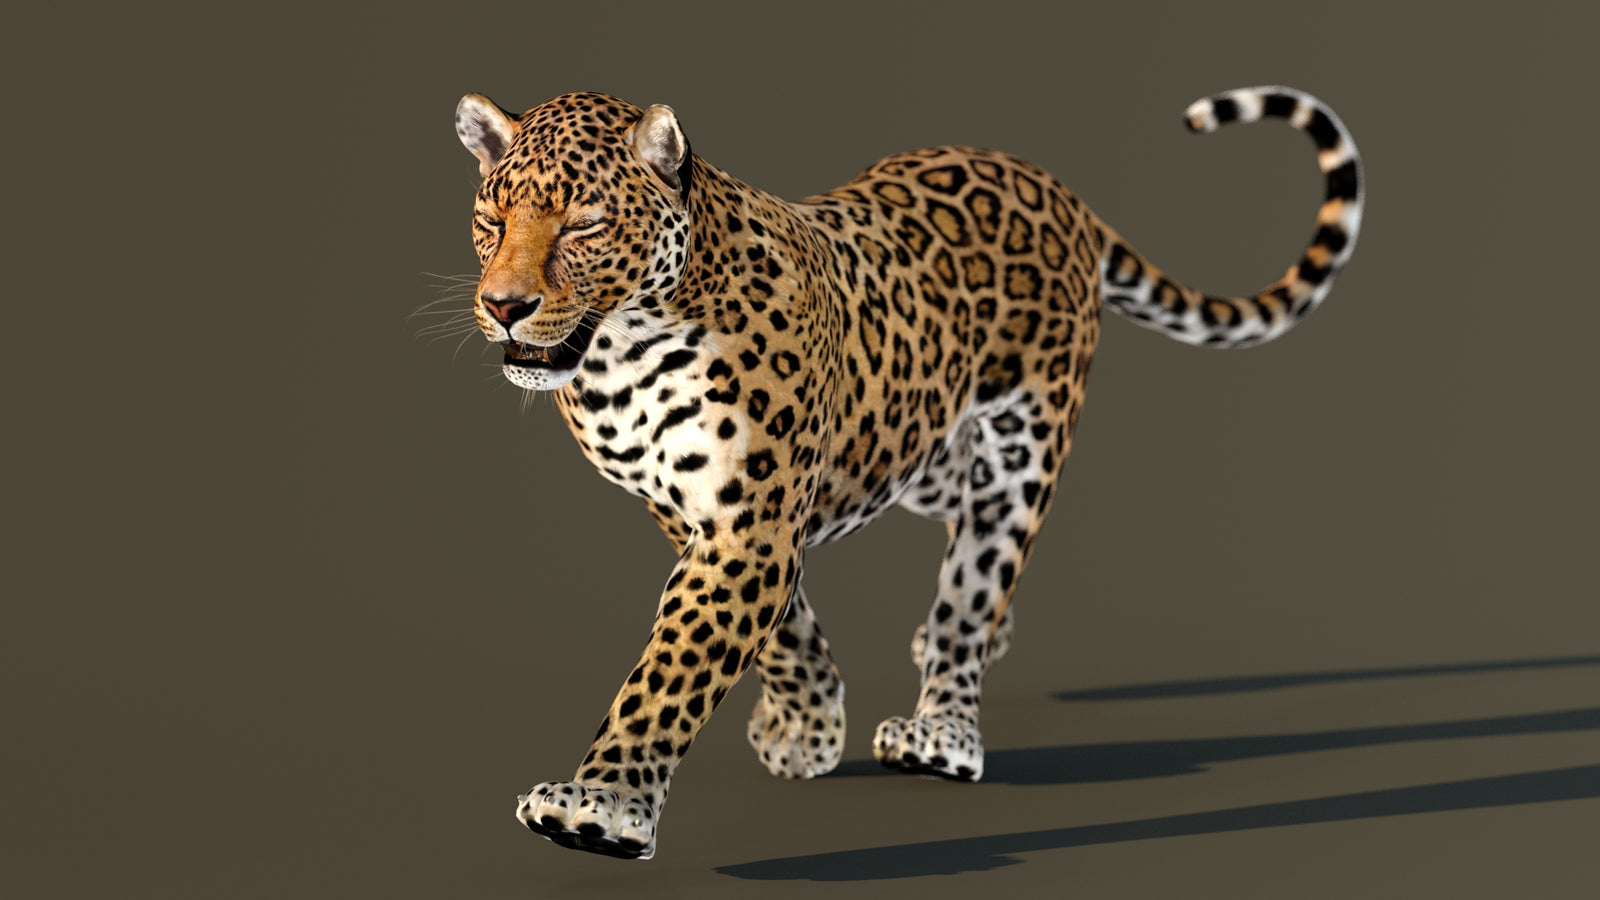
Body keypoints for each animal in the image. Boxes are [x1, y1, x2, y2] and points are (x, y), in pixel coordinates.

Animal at [448, 85, 1363, 860]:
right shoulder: (696, 510)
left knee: (977, 577)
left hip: (1021, 443)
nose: (503, 306)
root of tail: (1056, 187)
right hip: (910, 434)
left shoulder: (752, 523)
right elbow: (781, 629)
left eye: (584, 225)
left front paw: (598, 805)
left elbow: (676, 662)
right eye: (491, 219)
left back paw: (944, 727)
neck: (621, 358)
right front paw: (808, 724)